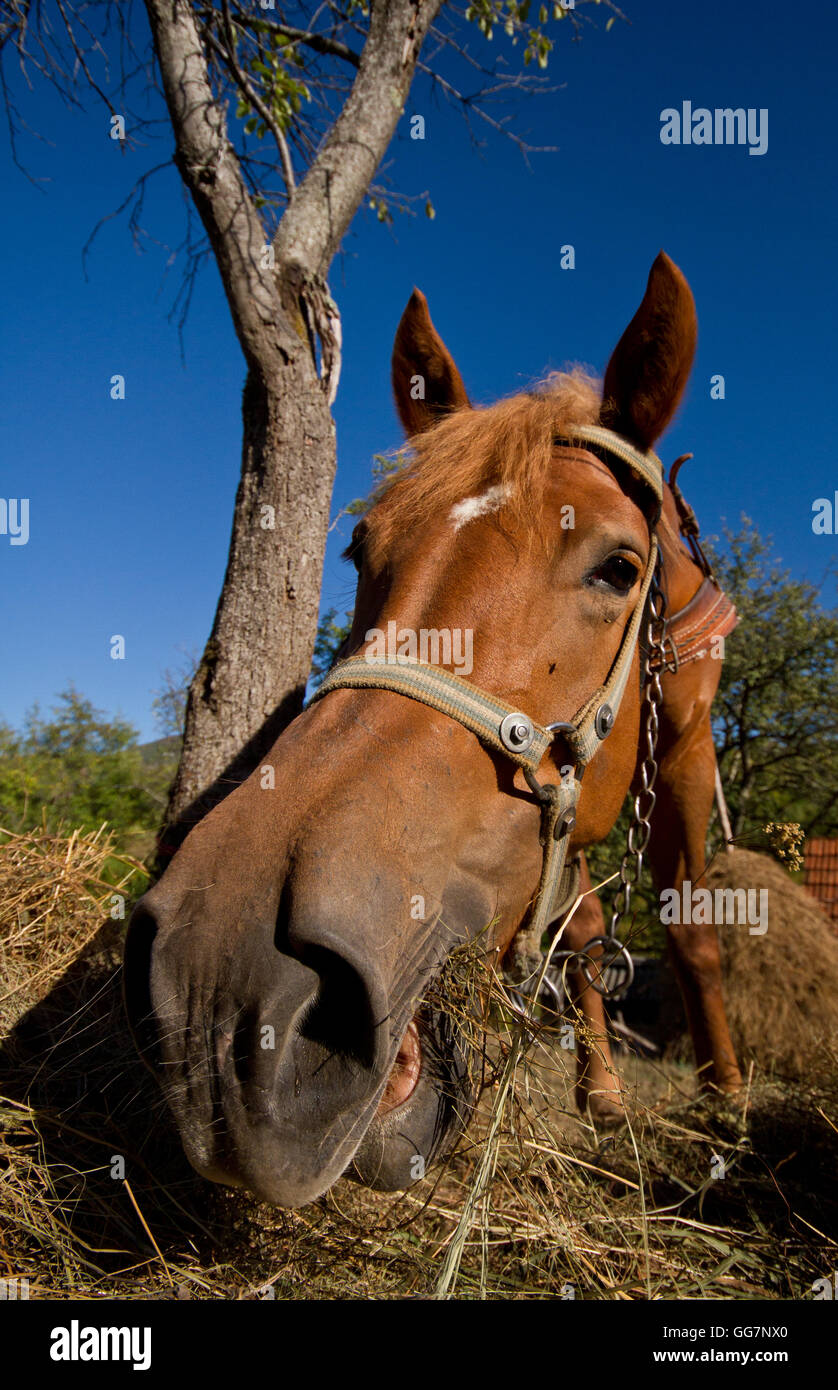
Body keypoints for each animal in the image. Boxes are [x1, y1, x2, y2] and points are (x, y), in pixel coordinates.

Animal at [122, 255, 739, 1212]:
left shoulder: (685, 750)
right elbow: (587, 928)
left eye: (618, 567)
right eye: (359, 551)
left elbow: (694, 930)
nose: (221, 978)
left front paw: (727, 1106)